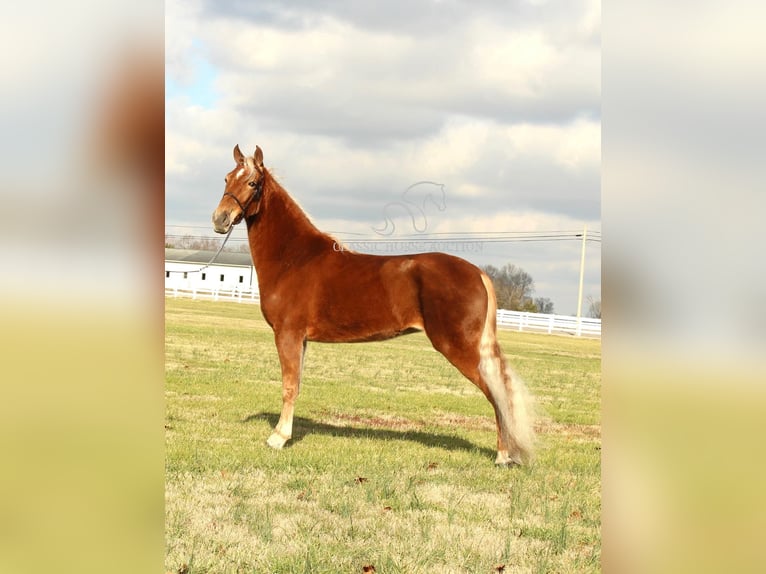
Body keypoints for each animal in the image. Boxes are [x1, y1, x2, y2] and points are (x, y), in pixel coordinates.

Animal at [210, 146, 536, 466]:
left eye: (253, 183)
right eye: (226, 178)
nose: (220, 219)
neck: (294, 258)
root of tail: (478, 273)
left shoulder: (287, 334)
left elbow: (288, 386)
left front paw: (278, 438)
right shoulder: (300, 340)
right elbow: (297, 384)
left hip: (459, 347)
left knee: (498, 394)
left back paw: (503, 455)